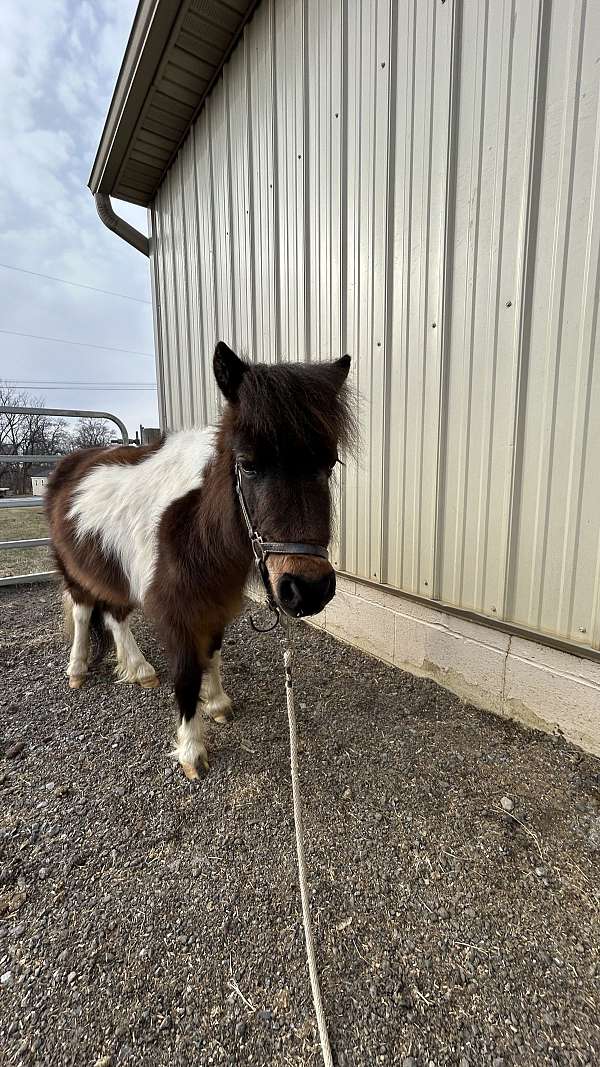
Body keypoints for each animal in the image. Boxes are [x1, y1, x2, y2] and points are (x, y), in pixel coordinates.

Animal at [47, 345, 354, 781]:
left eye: (328, 464)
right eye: (248, 464)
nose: (307, 589)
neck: (196, 524)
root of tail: (70, 463)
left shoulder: (215, 601)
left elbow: (211, 652)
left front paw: (217, 703)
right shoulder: (178, 610)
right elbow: (188, 674)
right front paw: (192, 751)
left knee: (116, 616)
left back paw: (140, 669)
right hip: (74, 571)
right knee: (82, 611)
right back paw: (77, 670)